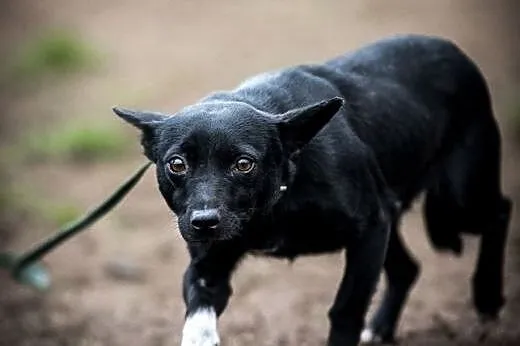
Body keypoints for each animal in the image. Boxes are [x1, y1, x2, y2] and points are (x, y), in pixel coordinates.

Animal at [112, 34, 512, 346]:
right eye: (177, 164)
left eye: (244, 163)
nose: (204, 222)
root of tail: (454, 51)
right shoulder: (210, 265)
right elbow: (198, 318)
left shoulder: (368, 230)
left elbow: (346, 309)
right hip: (396, 215)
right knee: (407, 269)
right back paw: (381, 328)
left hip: (457, 201)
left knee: (500, 211)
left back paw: (487, 298)